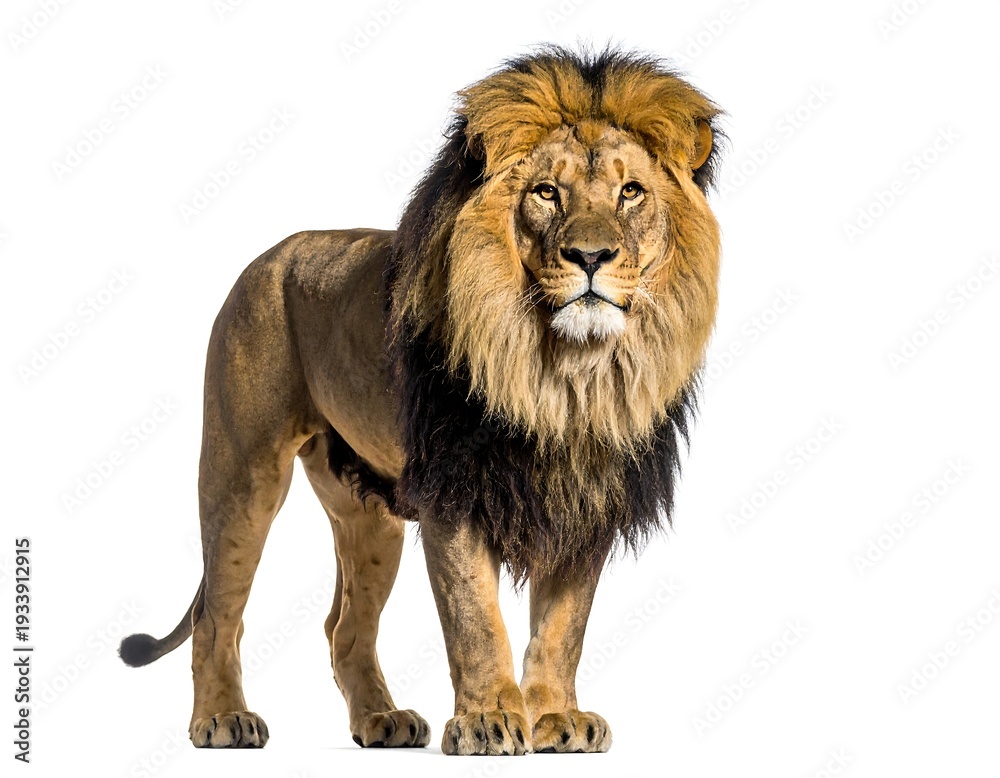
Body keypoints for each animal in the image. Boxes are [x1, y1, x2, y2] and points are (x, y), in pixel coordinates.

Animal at [119, 47, 723, 755]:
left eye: (631, 193)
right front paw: (490, 720)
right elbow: (476, 618)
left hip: (370, 517)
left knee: (344, 627)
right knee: (219, 612)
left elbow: (562, 627)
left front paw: (556, 718)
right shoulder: (454, 486)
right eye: (547, 192)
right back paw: (221, 719)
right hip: (244, 472)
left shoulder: (585, 496)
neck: (561, 374)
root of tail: (270, 255)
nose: (591, 255)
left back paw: (382, 721)